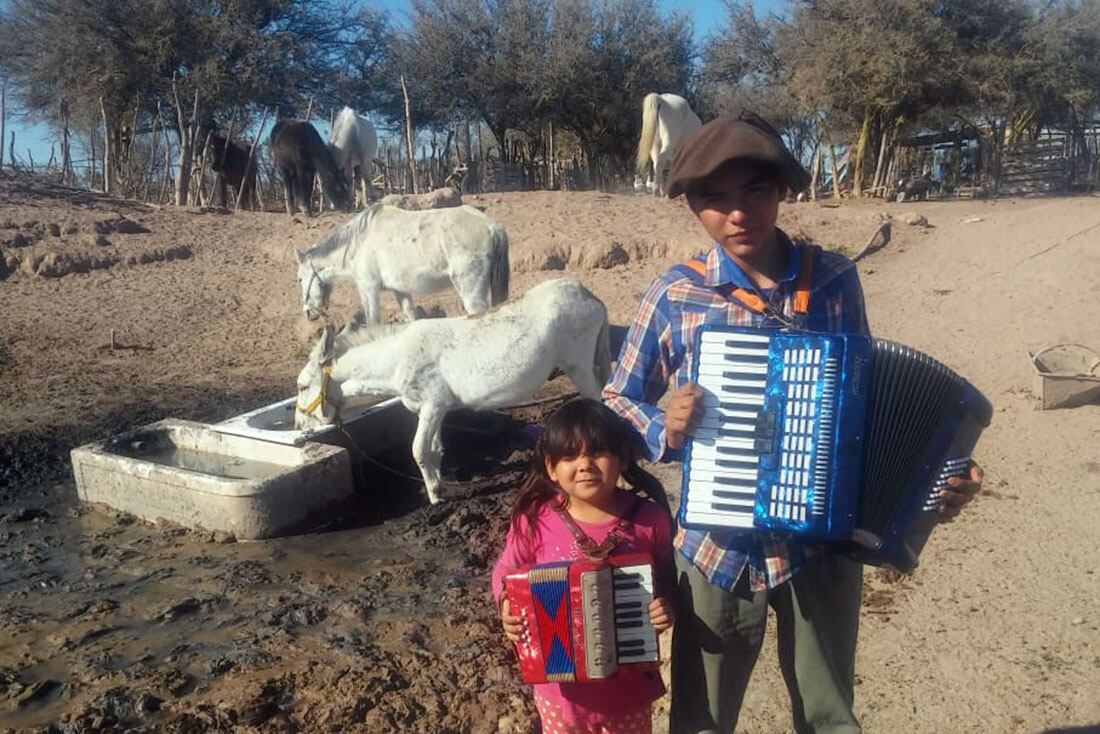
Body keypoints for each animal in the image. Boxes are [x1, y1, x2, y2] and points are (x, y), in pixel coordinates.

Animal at [297, 203, 510, 323]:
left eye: (299, 279)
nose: (308, 313)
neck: (357, 243)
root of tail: (492, 226)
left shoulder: (368, 289)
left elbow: (373, 322)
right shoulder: (400, 291)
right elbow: (410, 318)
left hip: (471, 293)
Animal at [297, 279, 616, 506]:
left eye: (301, 386)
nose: (298, 427)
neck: (396, 358)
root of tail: (587, 294)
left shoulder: (432, 405)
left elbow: (418, 449)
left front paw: (434, 497)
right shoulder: (436, 409)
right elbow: (435, 449)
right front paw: (439, 486)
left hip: (579, 367)